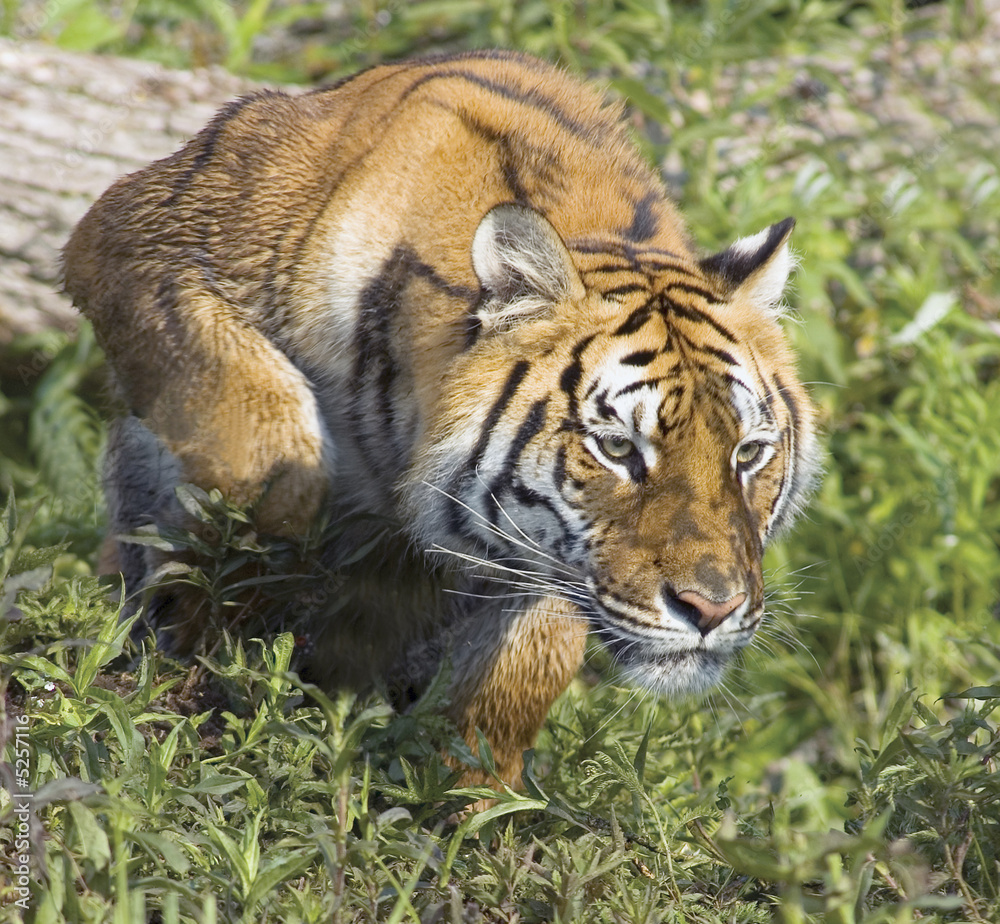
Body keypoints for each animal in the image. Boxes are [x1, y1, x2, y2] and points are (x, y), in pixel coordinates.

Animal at [63, 49, 820, 789]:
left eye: (748, 453)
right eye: (616, 448)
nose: (712, 610)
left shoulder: (541, 562)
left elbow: (524, 671)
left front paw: (472, 794)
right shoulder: (131, 237)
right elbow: (272, 452)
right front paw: (212, 624)